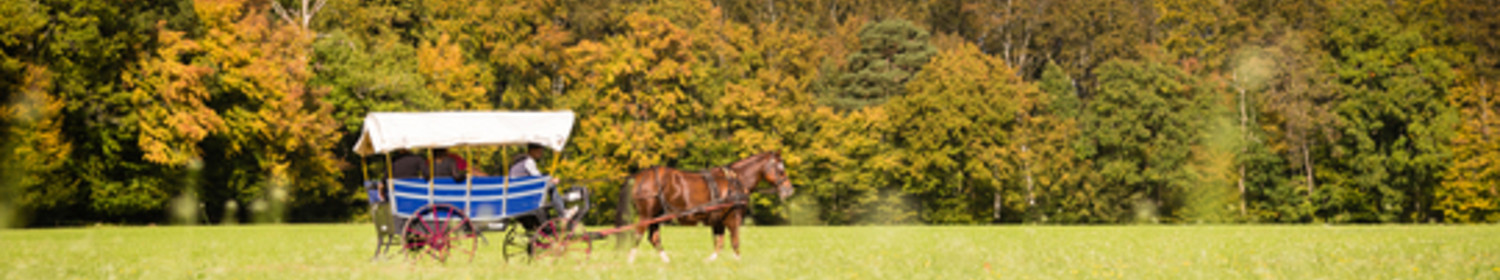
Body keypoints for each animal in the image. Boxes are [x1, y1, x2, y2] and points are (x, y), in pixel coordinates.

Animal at [612, 151, 792, 262]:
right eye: (781, 169)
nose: (789, 190)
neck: (735, 181)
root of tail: (639, 175)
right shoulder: (733, 217)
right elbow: (735, 242)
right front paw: (738, 263)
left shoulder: (718, 220)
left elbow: (719, 244)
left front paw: (708, 262)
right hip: (647, 214)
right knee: (638, 234)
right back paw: (630, 260)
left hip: (657, 215)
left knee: (653, 237)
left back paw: (668, 262)